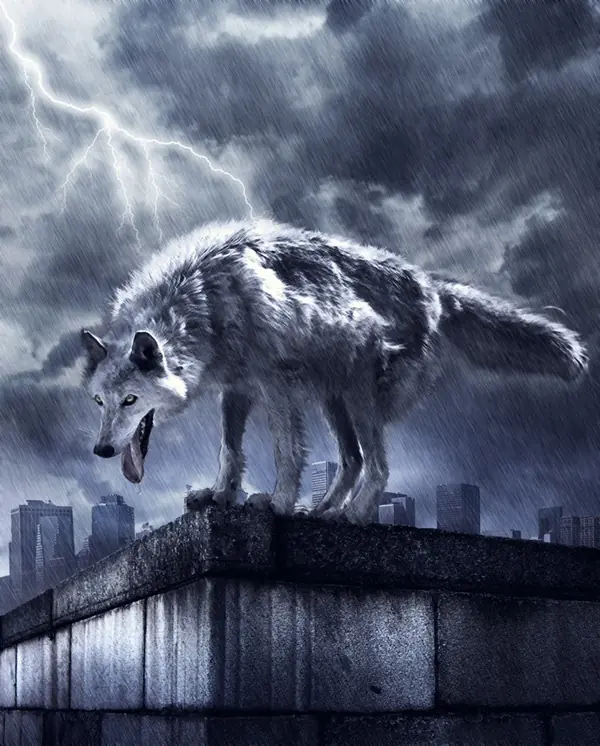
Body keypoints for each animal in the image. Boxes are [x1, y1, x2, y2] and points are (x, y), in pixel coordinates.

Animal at [81, 218, 587, 524]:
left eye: (131, 400)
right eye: (99, 402)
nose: (102, 450)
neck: (204, 299)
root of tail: (434, 287)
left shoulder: (275, 383)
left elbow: (288, 452)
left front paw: (279, 503)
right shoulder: (237, 389)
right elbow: (230, 451)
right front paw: (221, 495)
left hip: (359, 392)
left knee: (378, 466)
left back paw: (350, 514)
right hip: (333, 398)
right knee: (353, 460)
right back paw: (321, 511)